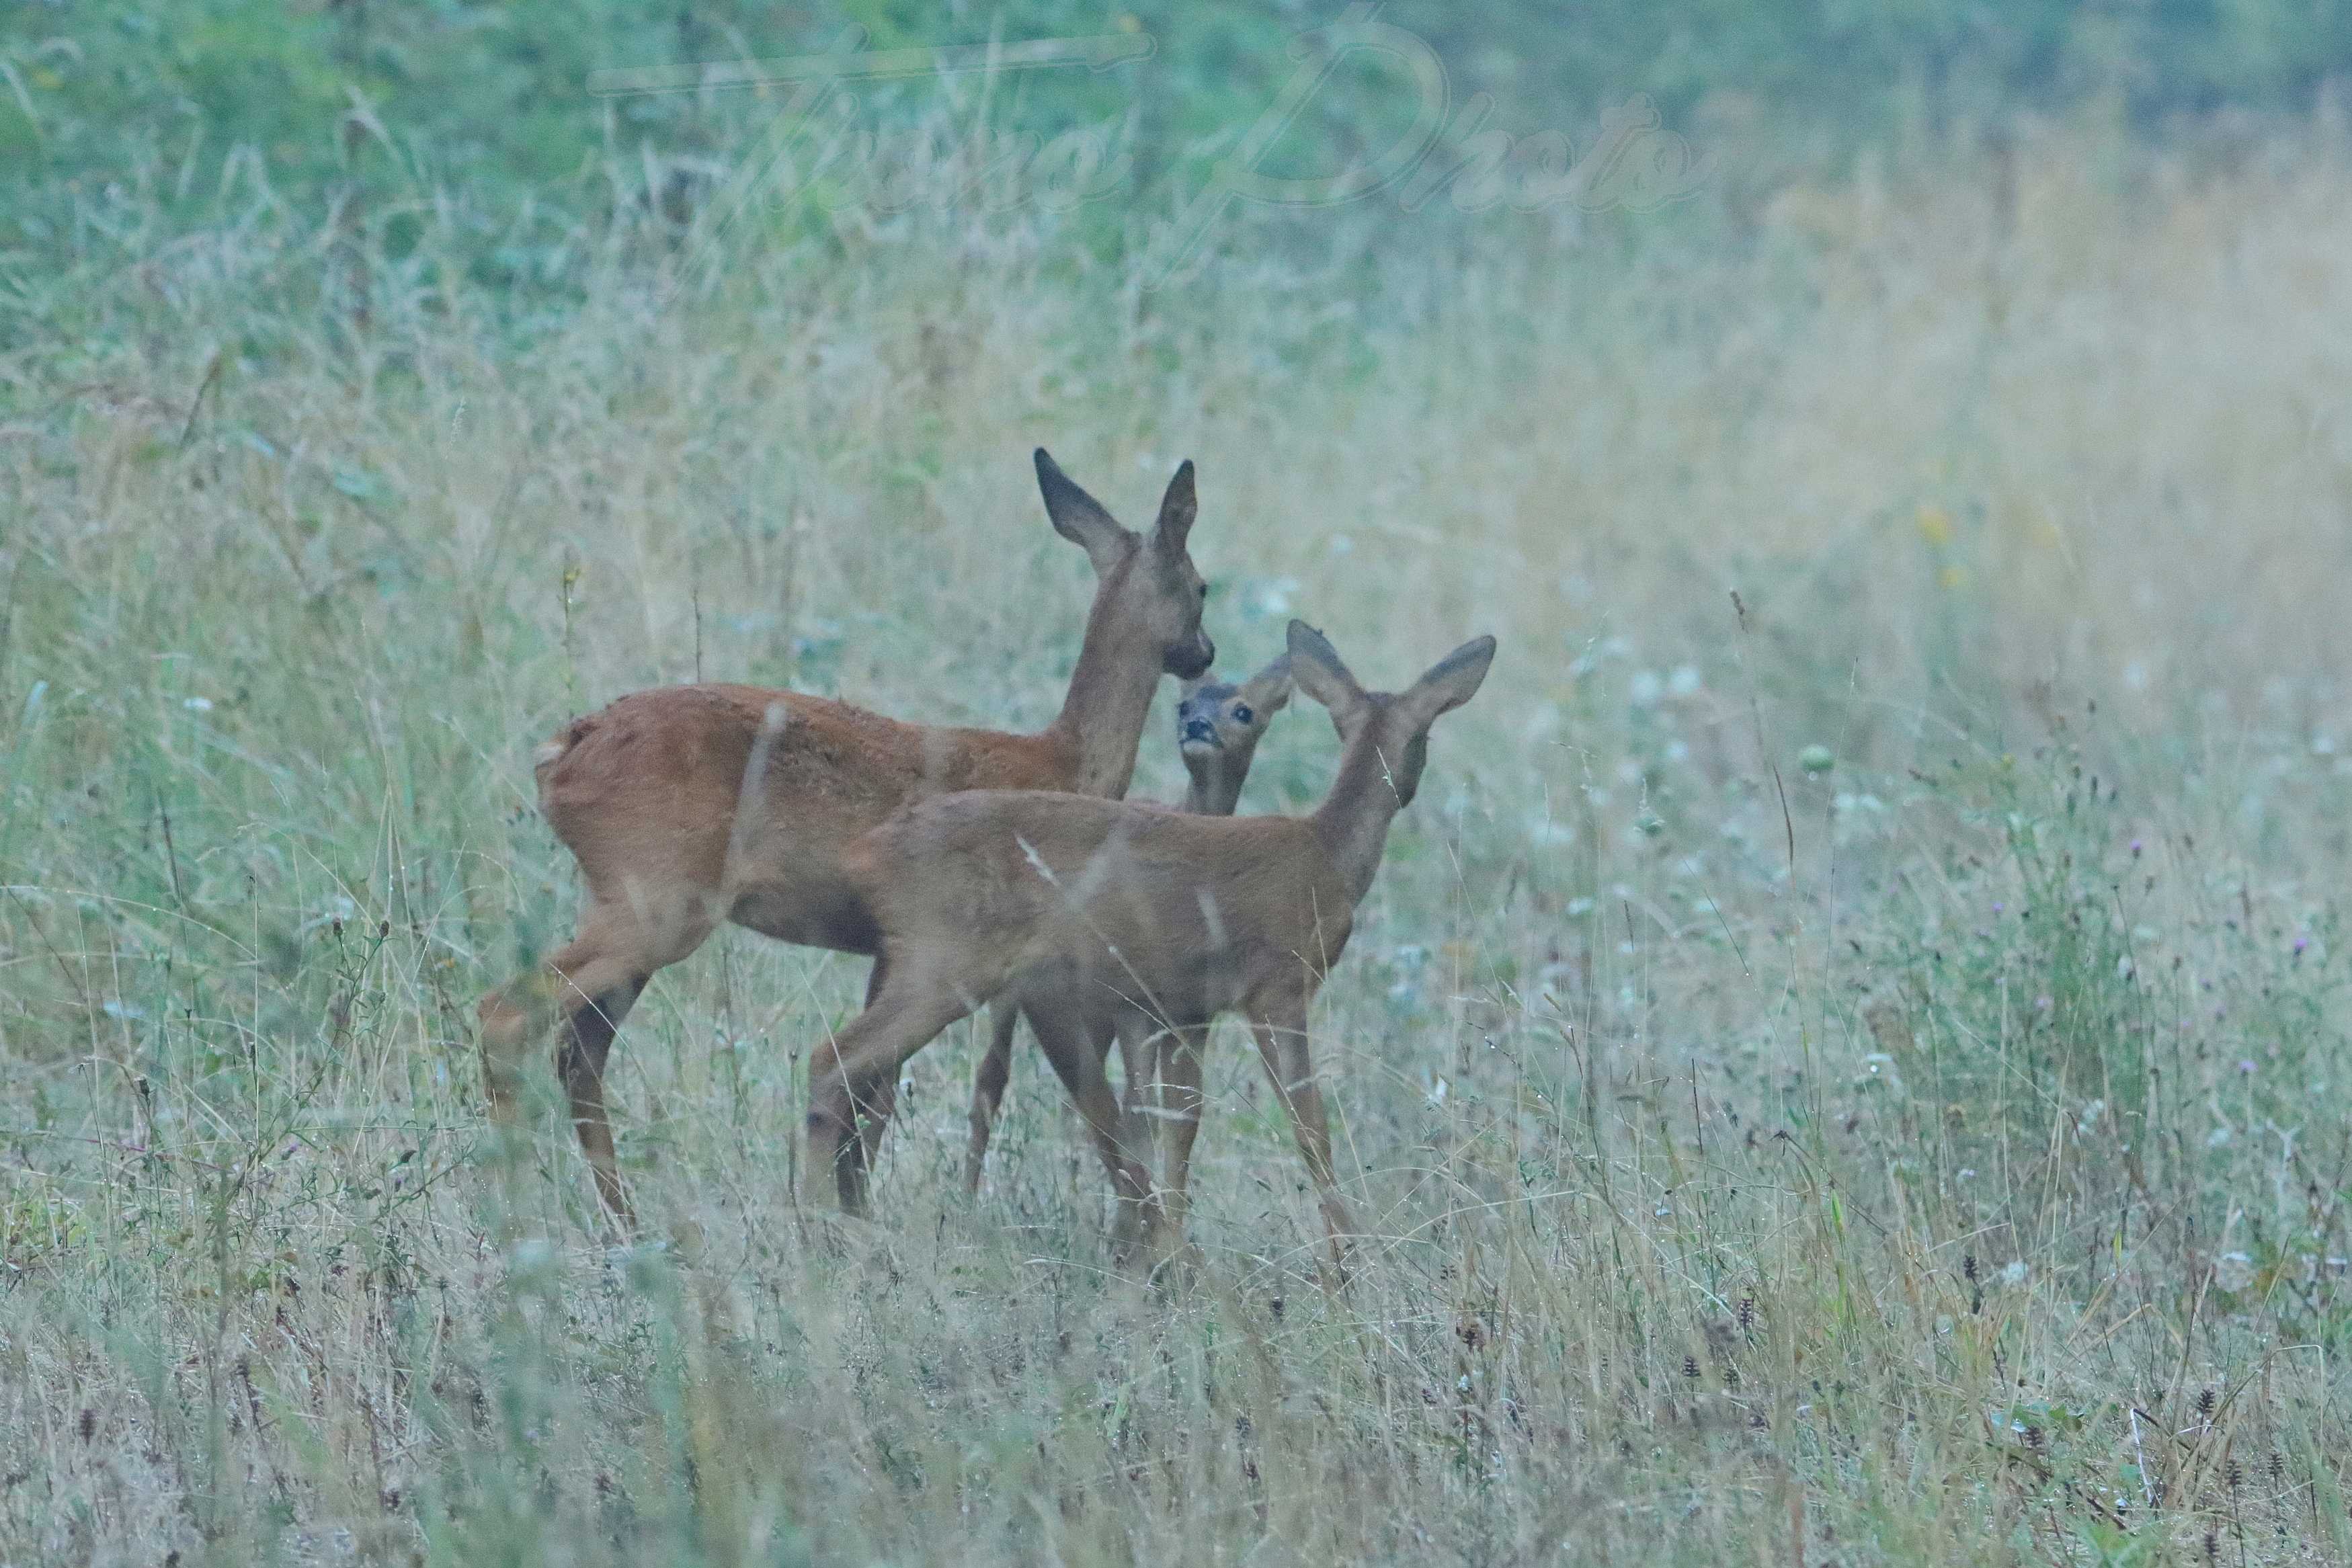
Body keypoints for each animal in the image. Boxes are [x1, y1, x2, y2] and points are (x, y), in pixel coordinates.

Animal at [473, 446, 1213, 1222]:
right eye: (1203, 585)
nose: (1204, 653)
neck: (1065, 760)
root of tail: (562, 754)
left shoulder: (890, 950)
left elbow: (871, 1094)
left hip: (622, 904)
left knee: (579, 1050)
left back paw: (620, 1218)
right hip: (657, 901)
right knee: (507, 1016)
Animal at [959, 653, 1298, 1189]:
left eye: (1244, 710)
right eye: (1184, 704)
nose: (1197, 726)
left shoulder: (1177, 1013)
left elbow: (1168, 1112)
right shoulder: (1133, 1006)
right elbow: (1141, 1110)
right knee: (996, 1080)